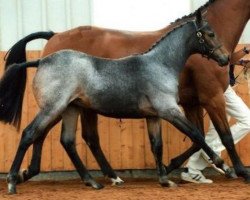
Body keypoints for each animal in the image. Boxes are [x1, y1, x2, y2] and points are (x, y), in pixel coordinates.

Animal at [3, 0, 250, 188]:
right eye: (210, 33)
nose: (224, 59)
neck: (159, 63)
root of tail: (43, 59)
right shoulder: (181, 106)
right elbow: (205, 135)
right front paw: (230, 168)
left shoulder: (160, 113)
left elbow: (159, 144)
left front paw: (165, 177)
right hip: (56, 107)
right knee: (33, 133)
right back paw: (15, 180)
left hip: (71, 108)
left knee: (67, 140)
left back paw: (93, 180)